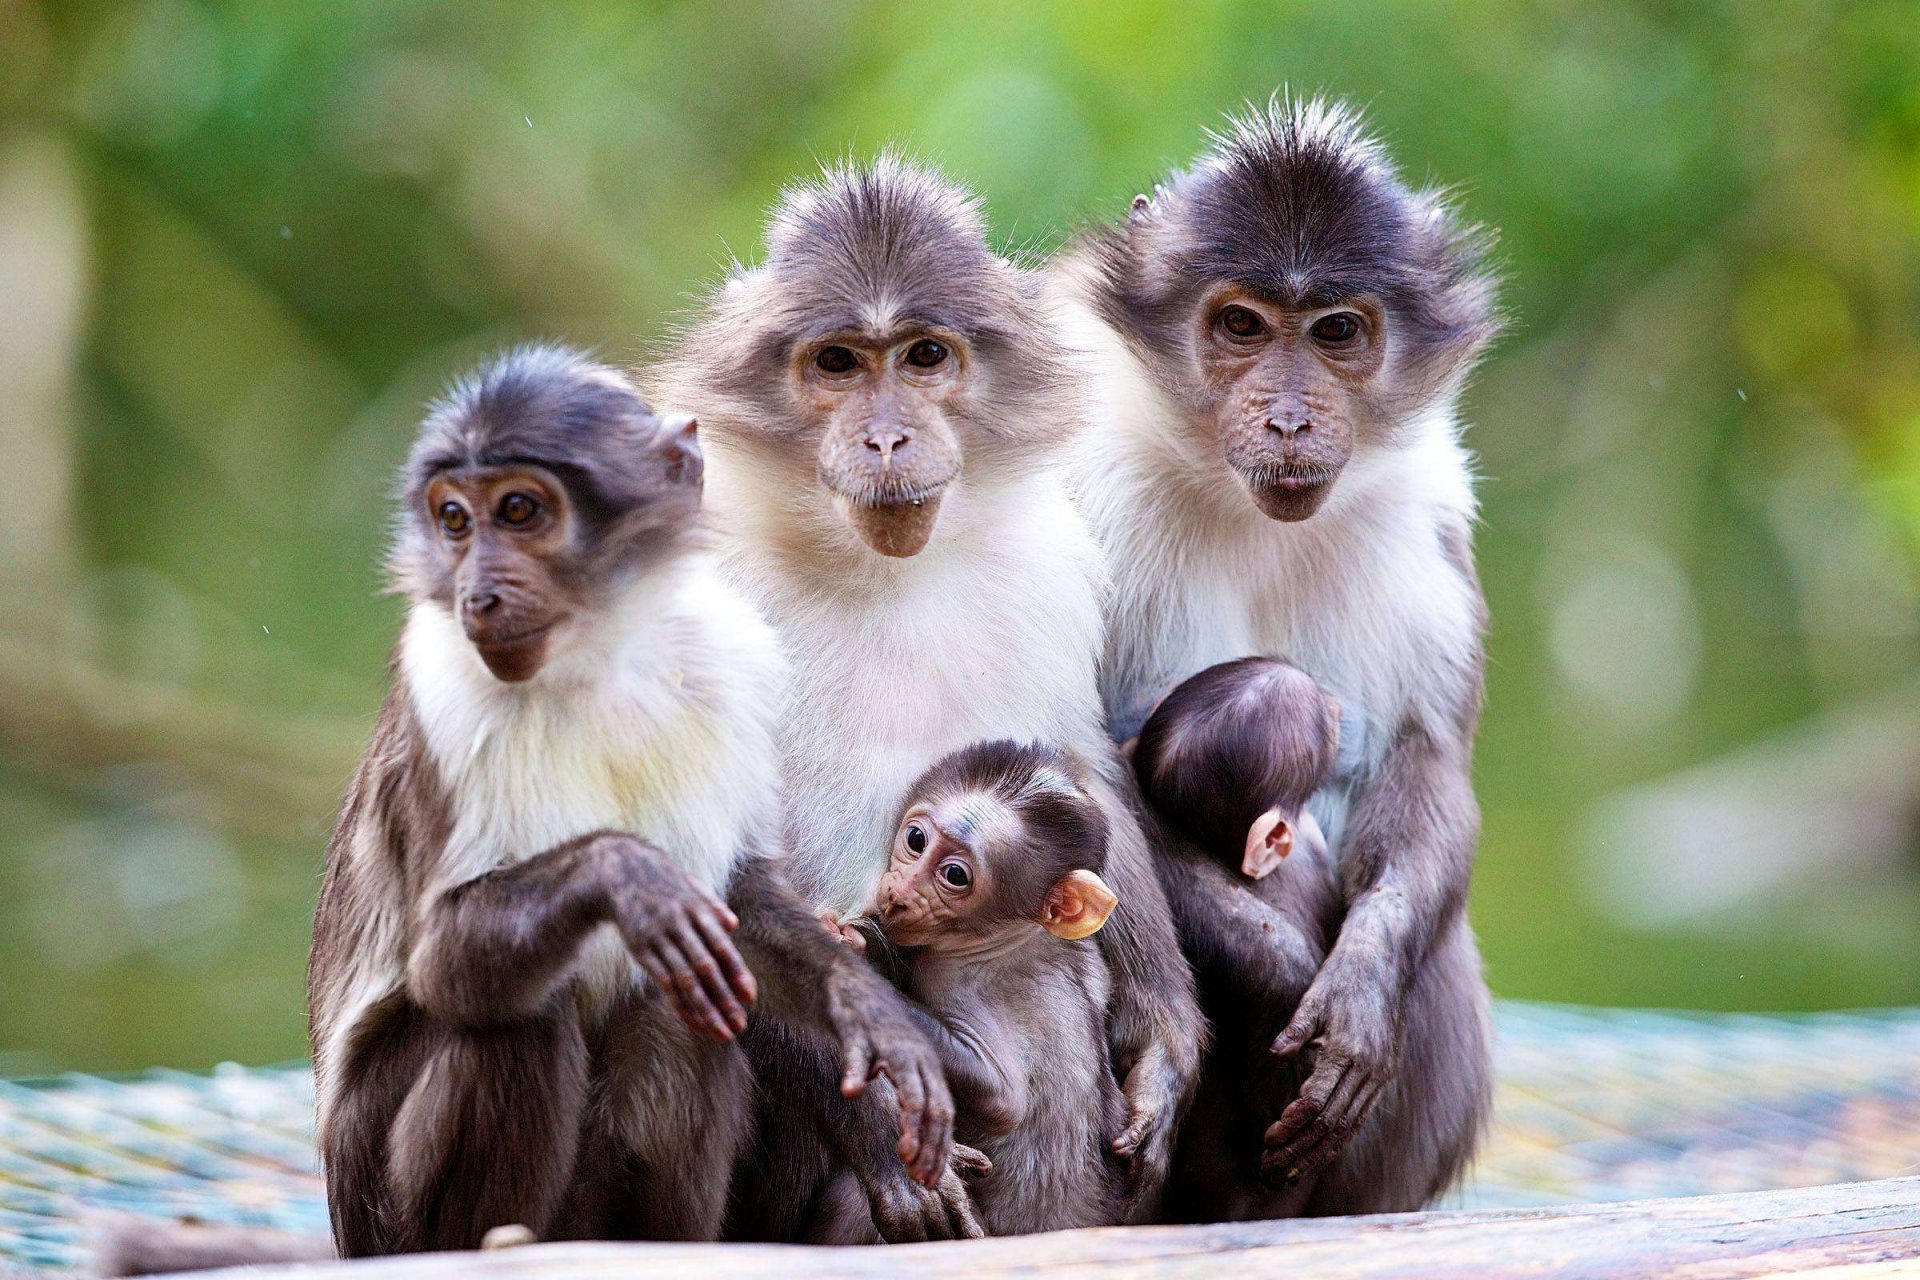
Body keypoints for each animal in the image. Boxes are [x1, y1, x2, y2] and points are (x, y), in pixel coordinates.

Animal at [305, 345, 952, 1258]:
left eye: (519, 510)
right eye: (455, 521)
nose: (479, 593)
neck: (597, 656)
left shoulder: (735, 653)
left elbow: (743, 901)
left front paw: (869, 1013)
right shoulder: (443, 692)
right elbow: (441, 958)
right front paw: (625, 874)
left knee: (683, 1002)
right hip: (377, 1202)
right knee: (523, 1014)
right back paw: (500, 1242)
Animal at [814, 740, 1136, 1243]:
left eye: (955, 876)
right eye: (916, 840)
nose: (898, 895)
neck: (1001, 942)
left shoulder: (977, 987)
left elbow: (1002, 1099)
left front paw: (850, 955)